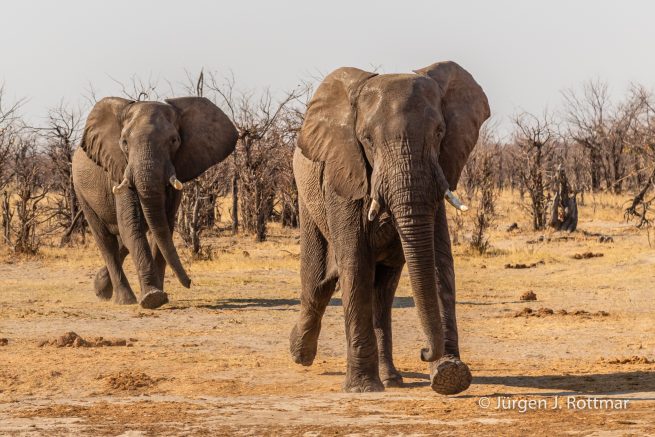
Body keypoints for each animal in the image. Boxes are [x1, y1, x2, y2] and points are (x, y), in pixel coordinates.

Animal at [72, 96, 238, 309]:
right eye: (124, 142)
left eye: (174, 141)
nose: (190, 282)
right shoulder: (119, 170)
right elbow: (131, 226)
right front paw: (152, 297)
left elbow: (162, 227)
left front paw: (158, 297)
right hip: (81, 191)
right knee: (106, 241)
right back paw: (123, 300)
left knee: (123, 242)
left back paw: (102, 289)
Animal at [289, 61, 489, 394]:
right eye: (367, 139)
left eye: (440, 132)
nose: (424, 352)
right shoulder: (344, 174)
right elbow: (355, 263)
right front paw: (362, 389)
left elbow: (437, 262)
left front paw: (450, 376)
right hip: (307, 196)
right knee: (317, 279)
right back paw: (300, 353)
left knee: (381, 292)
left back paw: (391, 379)